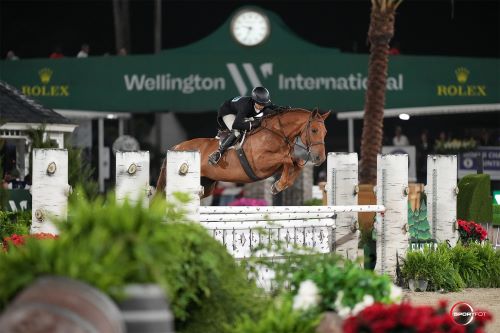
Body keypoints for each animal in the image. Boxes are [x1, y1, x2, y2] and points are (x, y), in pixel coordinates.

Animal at [154, 108, 330, 197]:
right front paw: (278, 185)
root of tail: (177, 147)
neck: (276, 133)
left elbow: (297, 164)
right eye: (314, 130)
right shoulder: (260, 162)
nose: (319, 158)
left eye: (326, 132)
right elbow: (287, 160)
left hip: (207, 184)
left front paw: (278, 185)